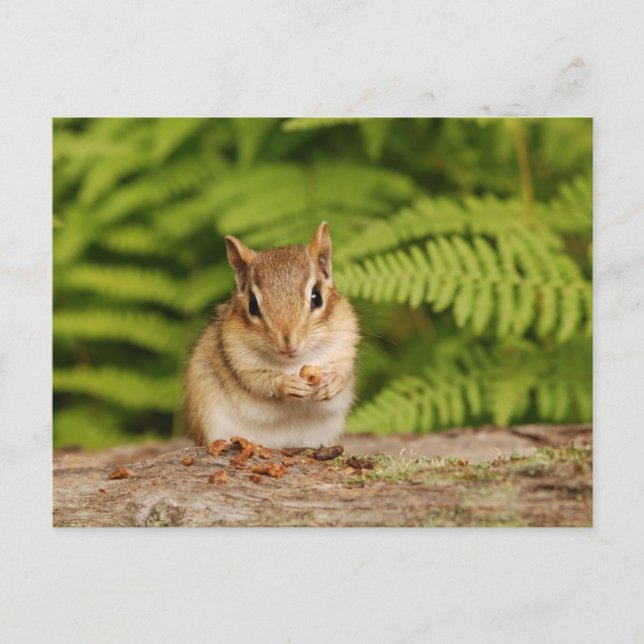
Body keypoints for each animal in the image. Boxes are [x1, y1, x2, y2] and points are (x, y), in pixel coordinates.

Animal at [185, 222, 359, 449]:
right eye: (252, 305)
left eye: (317, 297)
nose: (288, 343)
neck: (294, 363)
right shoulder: (240, 360)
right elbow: (259, 381)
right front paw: (287, 384)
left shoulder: (345, 345)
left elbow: (343, 369)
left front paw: (332, 382)